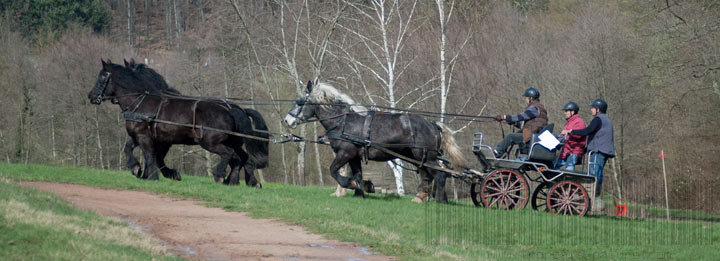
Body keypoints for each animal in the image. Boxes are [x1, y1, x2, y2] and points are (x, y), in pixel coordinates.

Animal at [88, 59, 268, 185]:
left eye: (101, 77)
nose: (91, 96)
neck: (140, 102)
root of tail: (231, 108)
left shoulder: (146, 137)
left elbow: (150, 155)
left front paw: (148, 174)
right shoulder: (150, 138)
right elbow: (132, 149)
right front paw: (142, 170)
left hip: (210, 142)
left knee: (229, 154)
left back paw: (220, 176)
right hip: (233, 142)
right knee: (243, 158)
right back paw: (242, 182)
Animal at [284, 80, 464, 202]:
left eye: (299, 102)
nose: (287, 120)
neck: (343, 122)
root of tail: (433, 124)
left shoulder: (345, 153)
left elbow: (333, 171)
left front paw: (351, 184)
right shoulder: (354, 156)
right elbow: (357, 174)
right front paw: (360, 191)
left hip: (425, 157)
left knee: (440, 175)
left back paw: (439, 201)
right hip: (418, 157)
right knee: (430, 176)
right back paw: (422, 197)